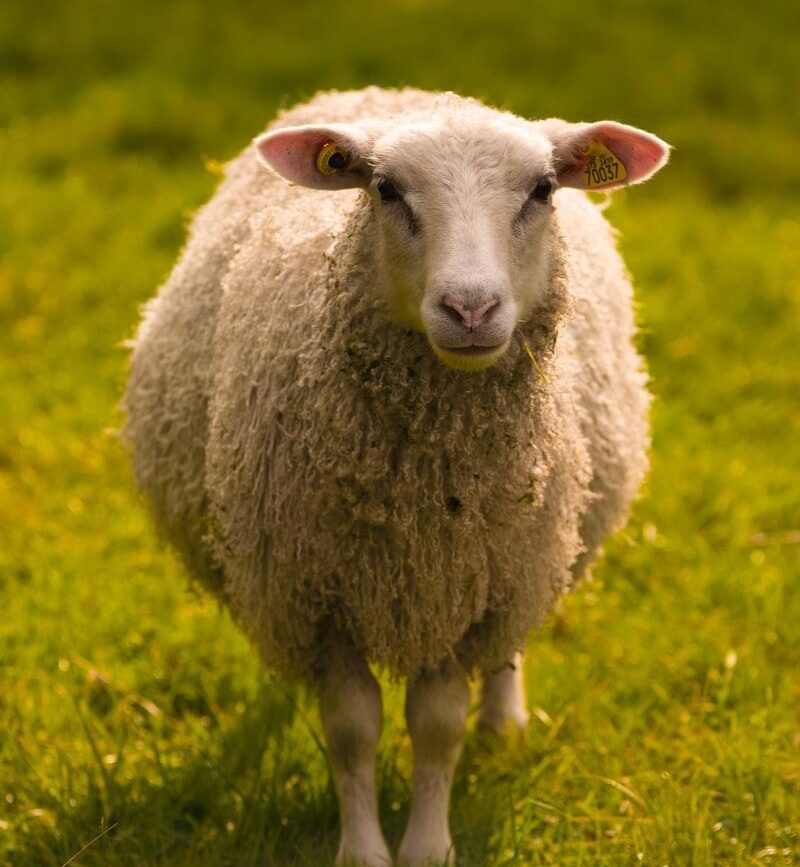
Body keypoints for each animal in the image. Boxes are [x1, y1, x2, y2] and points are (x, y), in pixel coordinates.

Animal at [123, 86, 669, 866]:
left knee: (505, 650)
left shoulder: (462, 588)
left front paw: (427, 846)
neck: (422, 495)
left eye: (542, 190)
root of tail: (409, 93)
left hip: (525, 560)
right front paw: (363, 849)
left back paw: (504, 721)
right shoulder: (320, 593)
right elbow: (353, 729)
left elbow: (437, 725)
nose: (470, 308)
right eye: (385, 190)